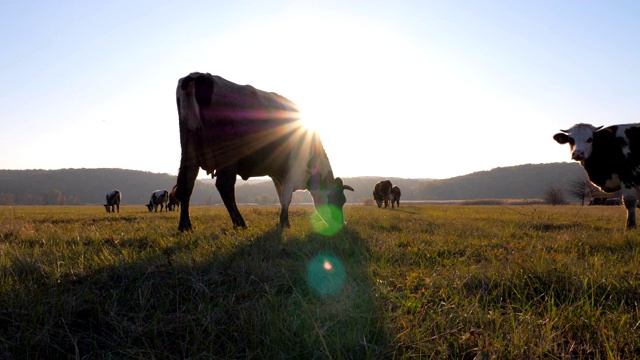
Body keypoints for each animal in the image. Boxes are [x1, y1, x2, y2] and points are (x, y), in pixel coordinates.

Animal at [175, 72, 356, 231]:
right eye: (340, 200)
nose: (343, 225)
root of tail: (199, 76)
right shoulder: (291, 170)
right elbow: (286, 198)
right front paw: (283, 225)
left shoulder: (277, 174)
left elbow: (281, 197)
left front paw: (286, 223)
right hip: (228, 155)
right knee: (224, 186)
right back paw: (240, 224)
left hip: (188, 150)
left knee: (186, 184)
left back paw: (185, 226)